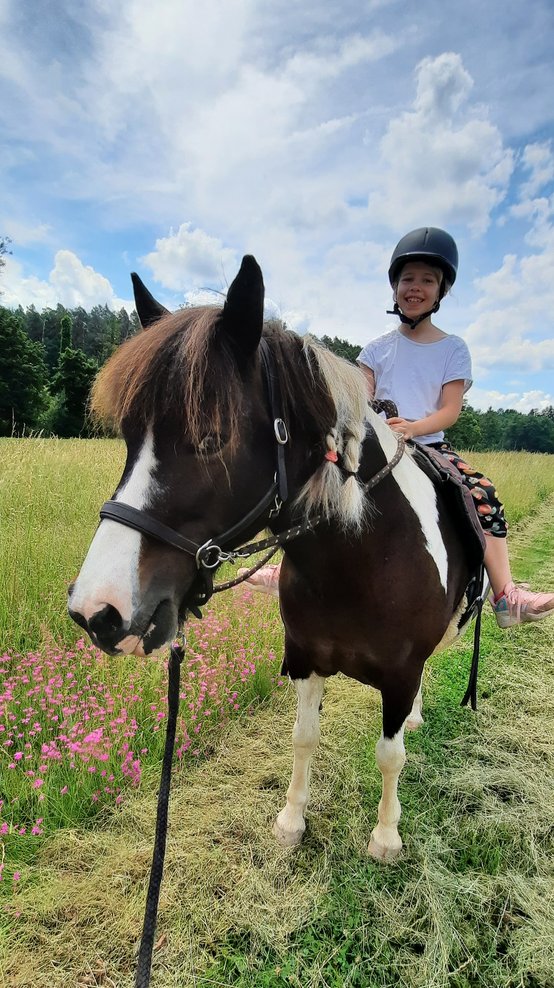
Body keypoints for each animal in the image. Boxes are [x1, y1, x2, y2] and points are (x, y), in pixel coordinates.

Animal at [68, 255, 481, 861]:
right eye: (128, 437)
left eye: (211, 437)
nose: (96, 611)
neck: (359, 562)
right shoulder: (306, 658)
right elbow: (303, 738)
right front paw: (292, 822)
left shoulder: (401, 674)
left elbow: (390, 755)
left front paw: (385, 835)